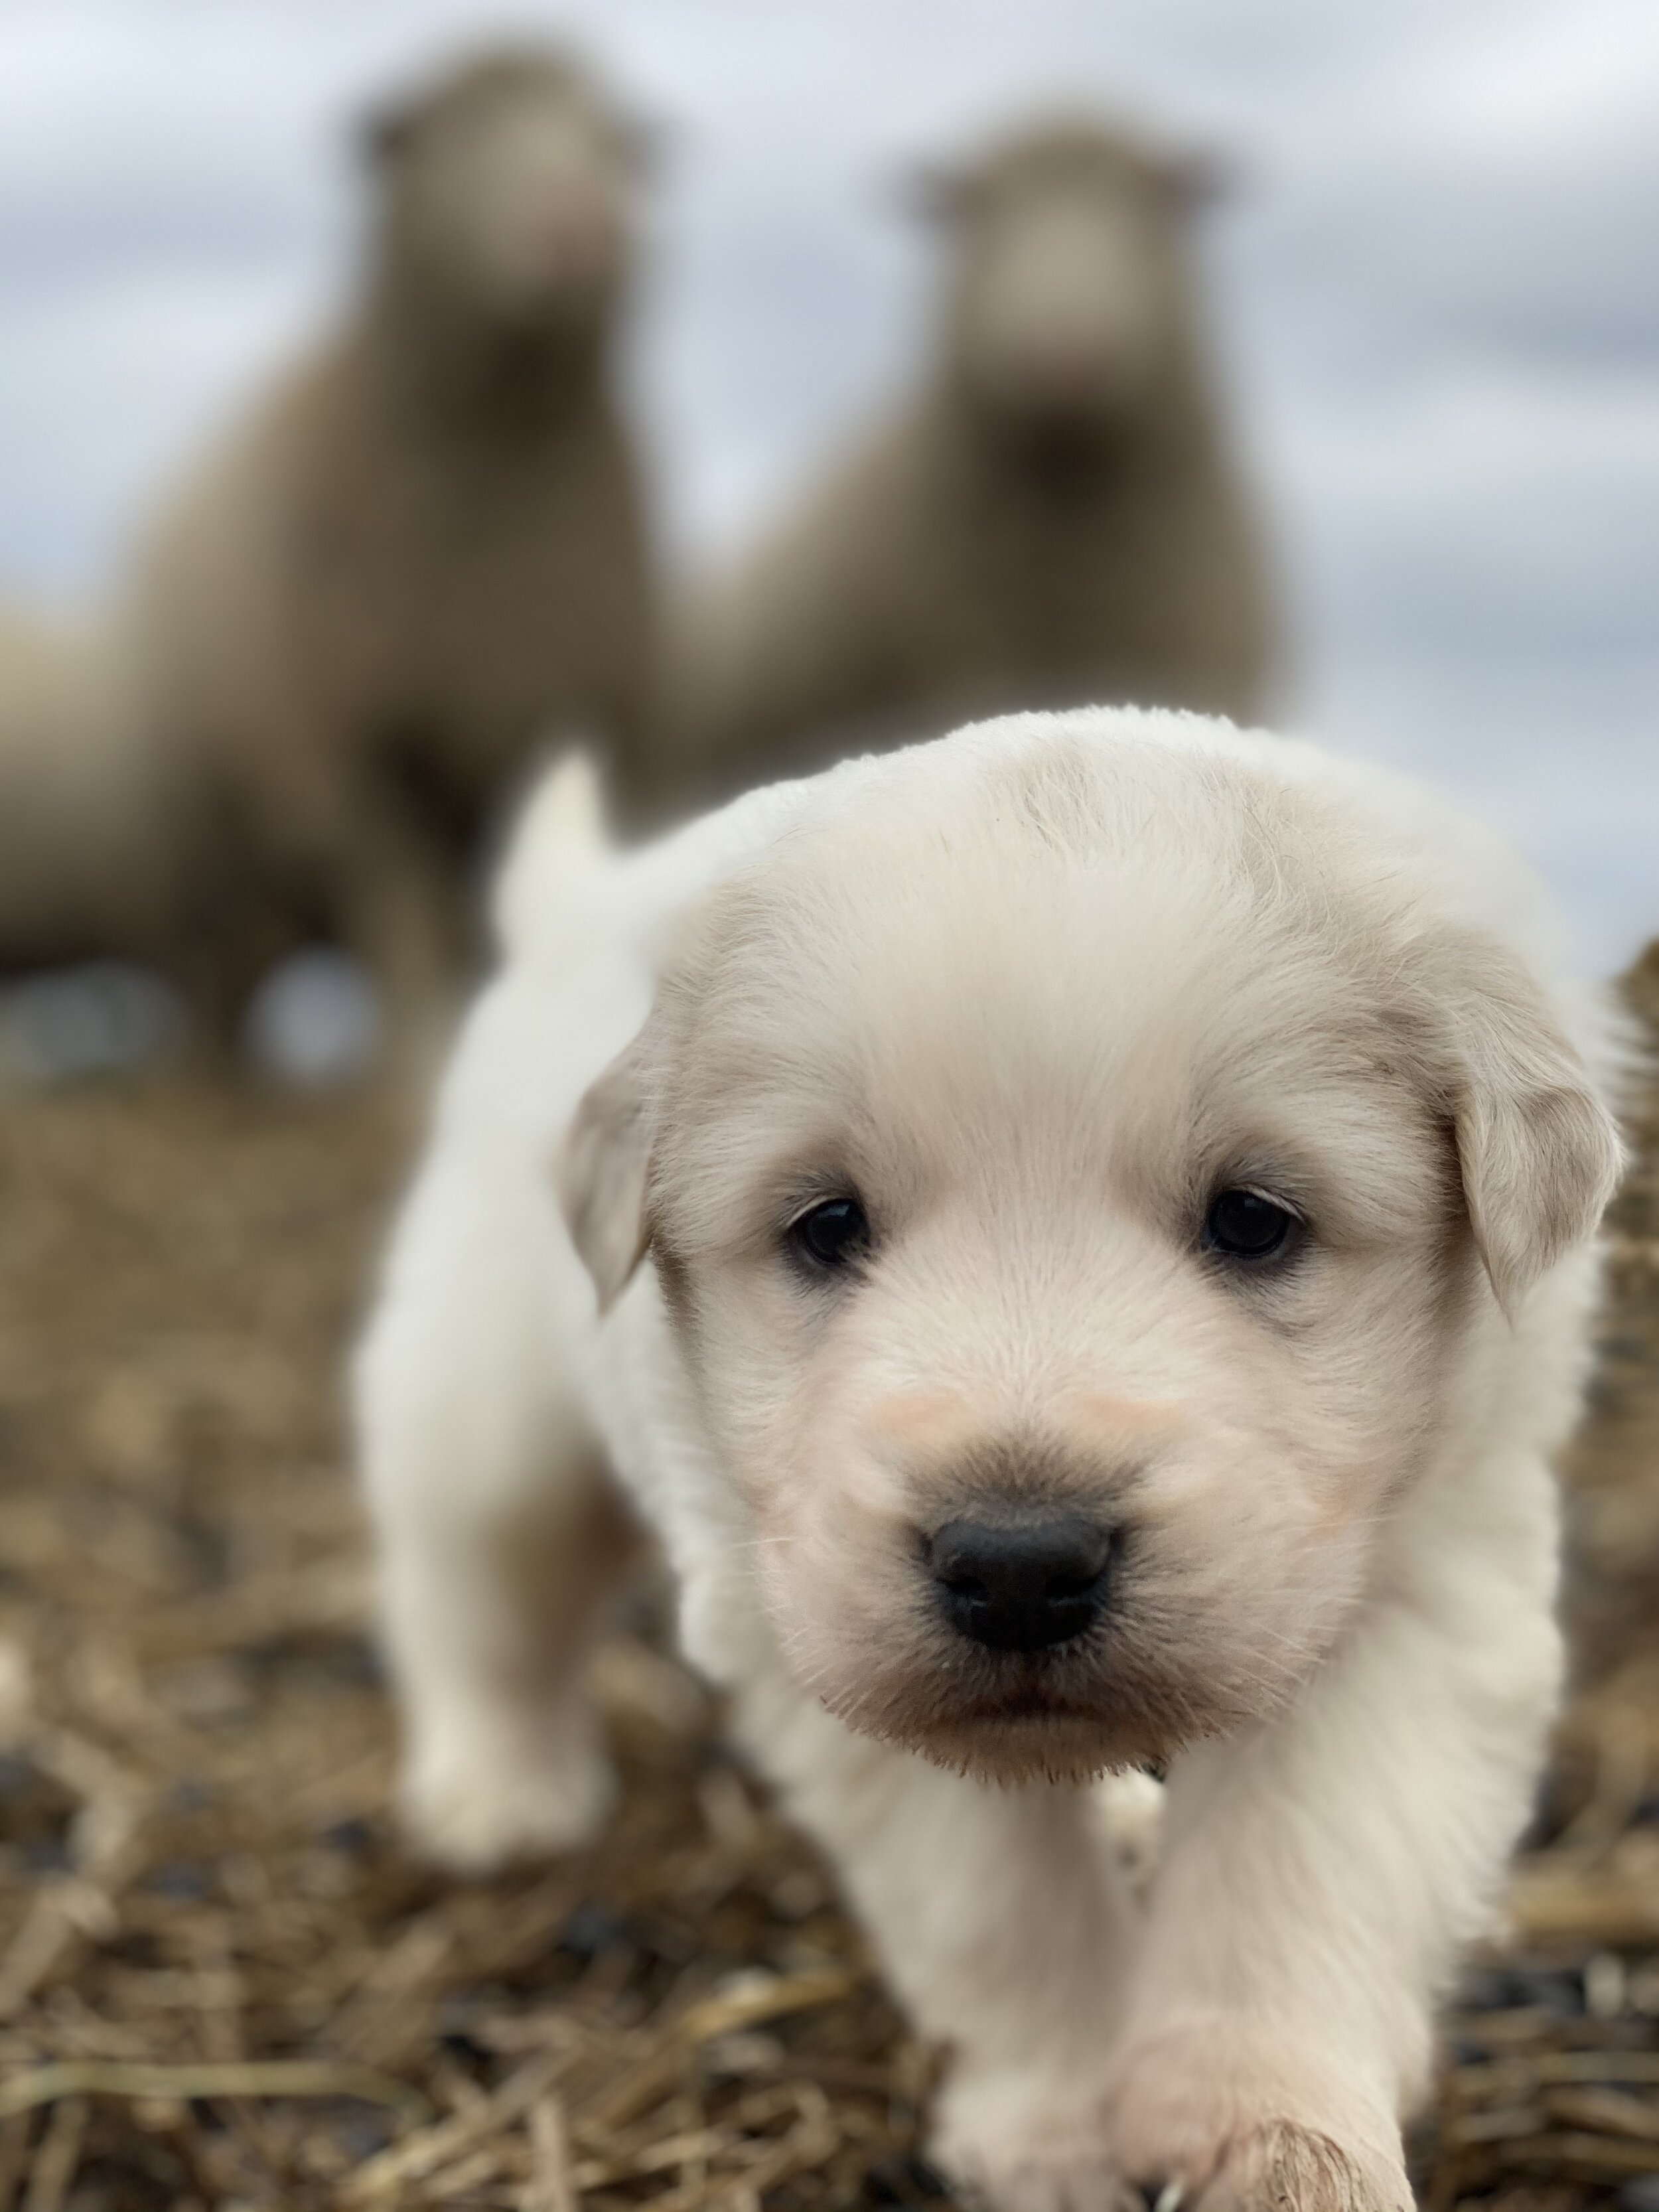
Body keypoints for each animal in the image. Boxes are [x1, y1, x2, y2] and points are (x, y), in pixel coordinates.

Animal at [125, 45, 664, 1044]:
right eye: (457, 128)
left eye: (612, 144)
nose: (581, 231)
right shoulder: (350, 760)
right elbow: (404, 913)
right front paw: (417, 1047)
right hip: (195, 855)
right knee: (208, 989)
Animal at [354, 707, 1628, 2212]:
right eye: (826, 1224)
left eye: (1254, 1220)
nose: (1019, 1565)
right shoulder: (811, 1620)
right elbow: (1002, 1903)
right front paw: (1059, 2130)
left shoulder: (1427, 1575)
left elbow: (1294, 1870)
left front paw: (1274, 2140)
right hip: (484, 1414)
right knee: (474, 1592)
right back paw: (496, 1791)